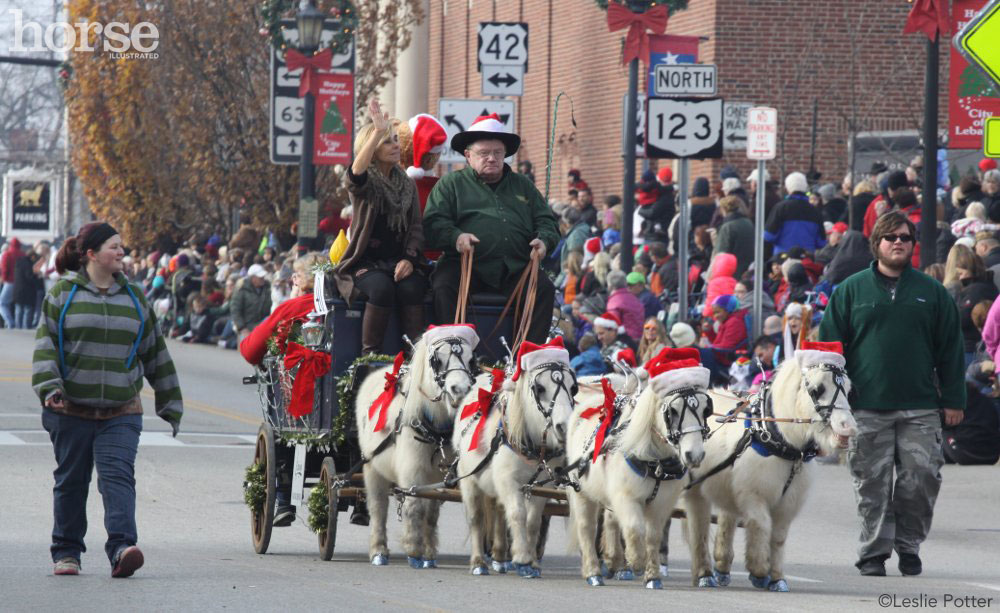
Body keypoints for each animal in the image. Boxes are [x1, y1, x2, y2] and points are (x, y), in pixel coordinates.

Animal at [356, 326, 480, 568]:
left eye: (471, 360)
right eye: (437, 360)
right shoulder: (412, 470)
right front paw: (413, 549)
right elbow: (415, 507)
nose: (460, 389)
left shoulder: (440, 477)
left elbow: (431, 512)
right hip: (372, 467)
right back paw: (378, 550)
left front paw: (428, 553)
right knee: (378, 507)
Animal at [452, 338, 576, 576]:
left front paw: (532, 562)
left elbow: (533, 521)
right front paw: (521, 557)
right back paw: (478, 562)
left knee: (499, 512)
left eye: (573, 387)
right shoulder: (508, 481)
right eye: (539, 388)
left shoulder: (540, 486)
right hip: (469, 478)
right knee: (476, 517)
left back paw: (500, 558)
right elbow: (518, 514)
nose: (565, 428)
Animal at [572, 352, 712, 592]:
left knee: (610, 520)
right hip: (581, 492)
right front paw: (636, 561)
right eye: (673, 411)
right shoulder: (627, 497)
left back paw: (613, 560)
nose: (694, 455)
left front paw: (652, 575)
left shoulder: (660, 503)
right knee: (586, 527)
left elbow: (653, 536)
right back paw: (594, 572)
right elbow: (634, 528)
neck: (655, 461)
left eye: (706, 409)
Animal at [688, 342, 860, 592]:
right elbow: (761, 525)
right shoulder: (753, 495)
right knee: (698, 525)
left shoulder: (788, 503)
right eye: (817, 389)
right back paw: (704, 573)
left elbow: (778, 536)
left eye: (847, 389)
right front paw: (759, 570)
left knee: (726, 519)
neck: (781, 441)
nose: (848, 427)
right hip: (694, 490)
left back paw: (722, 568)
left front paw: (777, 578)